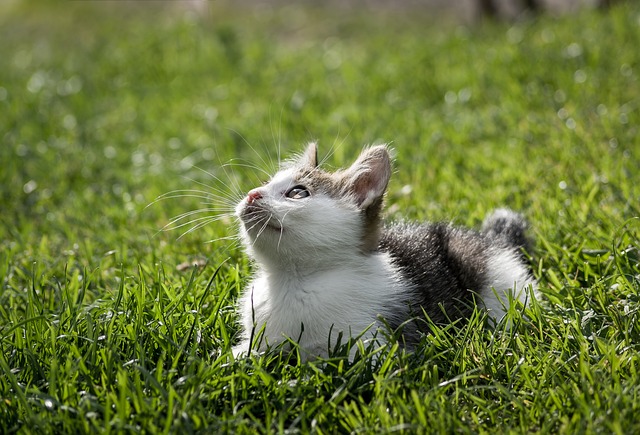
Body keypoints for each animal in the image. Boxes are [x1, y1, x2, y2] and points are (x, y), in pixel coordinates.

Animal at [232, 143, 536, 362]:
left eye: (297, 192)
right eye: (266, 183)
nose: (252, 194)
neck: (292, 279)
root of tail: (492, 240)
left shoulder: (370, 344)